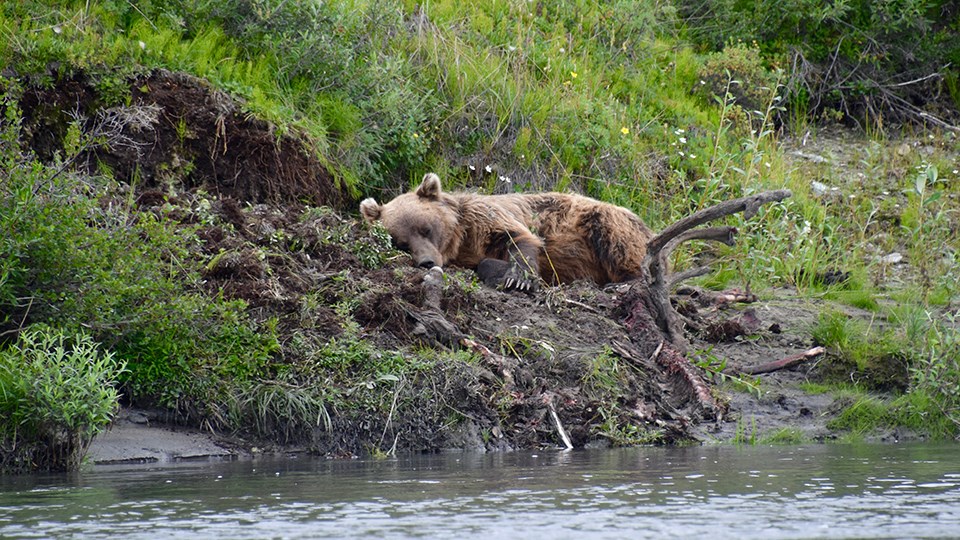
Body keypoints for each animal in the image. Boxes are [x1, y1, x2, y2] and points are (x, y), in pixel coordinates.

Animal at [356, 173, 656, 292]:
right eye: (400, 242)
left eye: (427, 228)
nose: (427, 262)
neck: (461, 239)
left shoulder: (486, 218)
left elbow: (517, 237)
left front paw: (517, 278)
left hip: (607, 220)